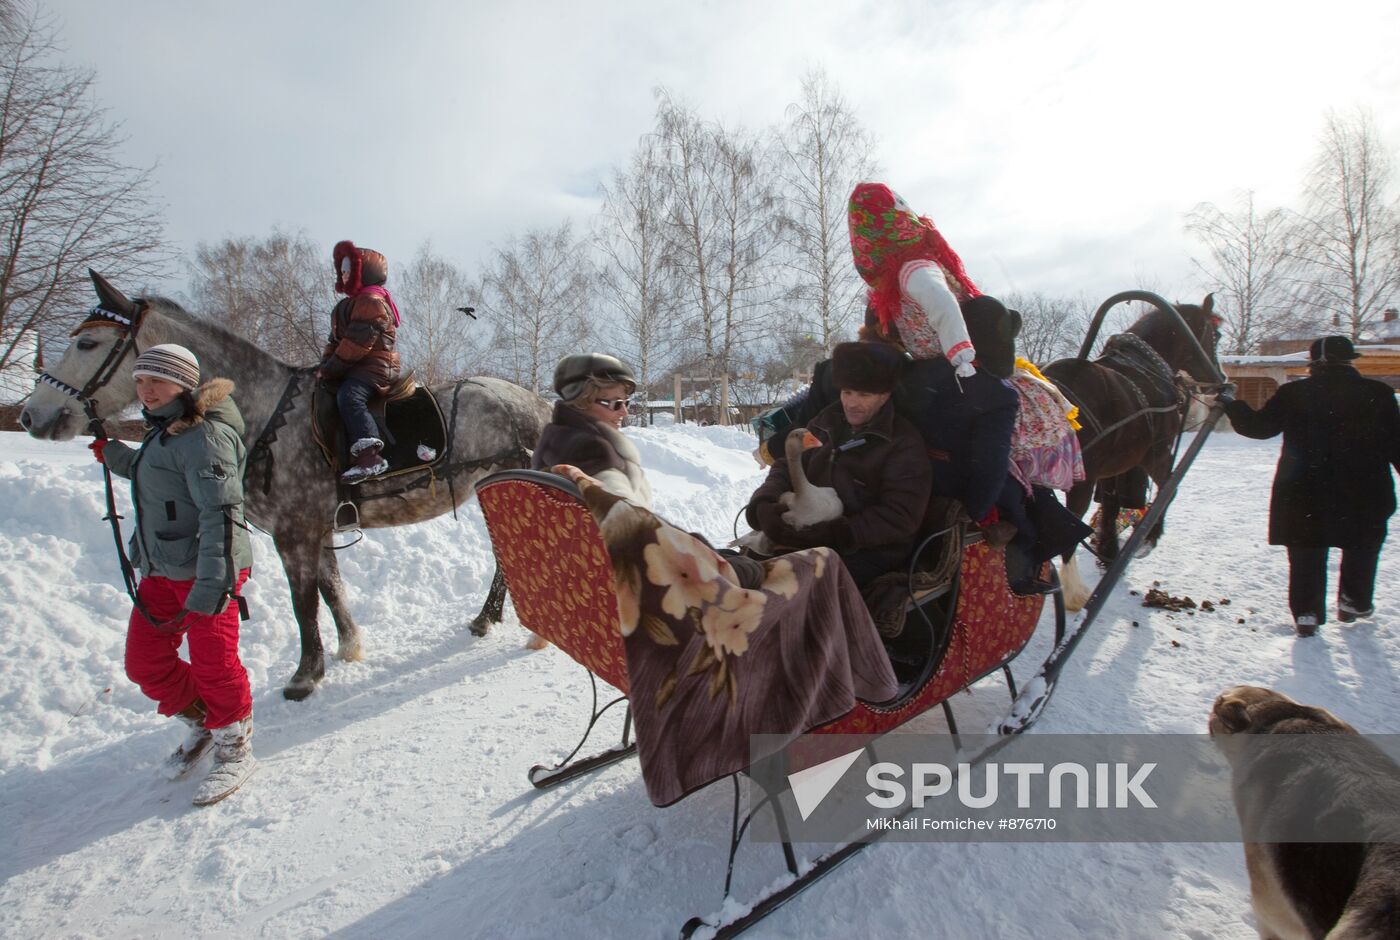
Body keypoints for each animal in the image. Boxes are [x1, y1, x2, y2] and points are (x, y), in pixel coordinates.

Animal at [23, 271, 546, 697]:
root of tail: (536, 403)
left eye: (87, 345)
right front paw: (348, 648)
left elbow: (304, 602)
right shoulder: (318, 529)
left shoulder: (293, 532)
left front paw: (305, 675)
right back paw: (487, 617)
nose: (33, 415)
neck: (264, 414)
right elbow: (331, 591)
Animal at [1047, 298, 1220, 613]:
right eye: (1216, 336)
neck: (1145, 368)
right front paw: (1147, 539)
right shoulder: (1157, 454)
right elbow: (1168, 490)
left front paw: (1109, 550)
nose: (1220, 377)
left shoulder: (1114, 466)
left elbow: (1111, 505)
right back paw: (1075, 592)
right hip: (1083, 480)